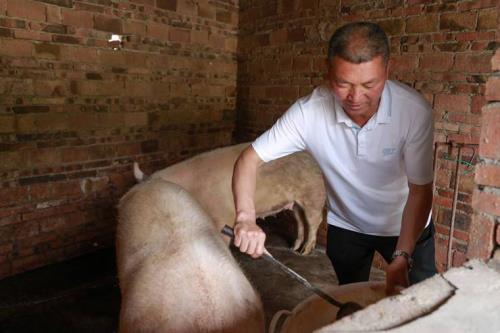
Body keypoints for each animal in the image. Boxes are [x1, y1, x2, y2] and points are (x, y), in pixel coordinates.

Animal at [135, 143, 326, 254]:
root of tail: (312, 157)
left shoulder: (224, 216)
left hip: (314, 195)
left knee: (314, 221)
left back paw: (305, 252)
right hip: (295, 203)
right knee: (300, 221)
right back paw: (294, 248)